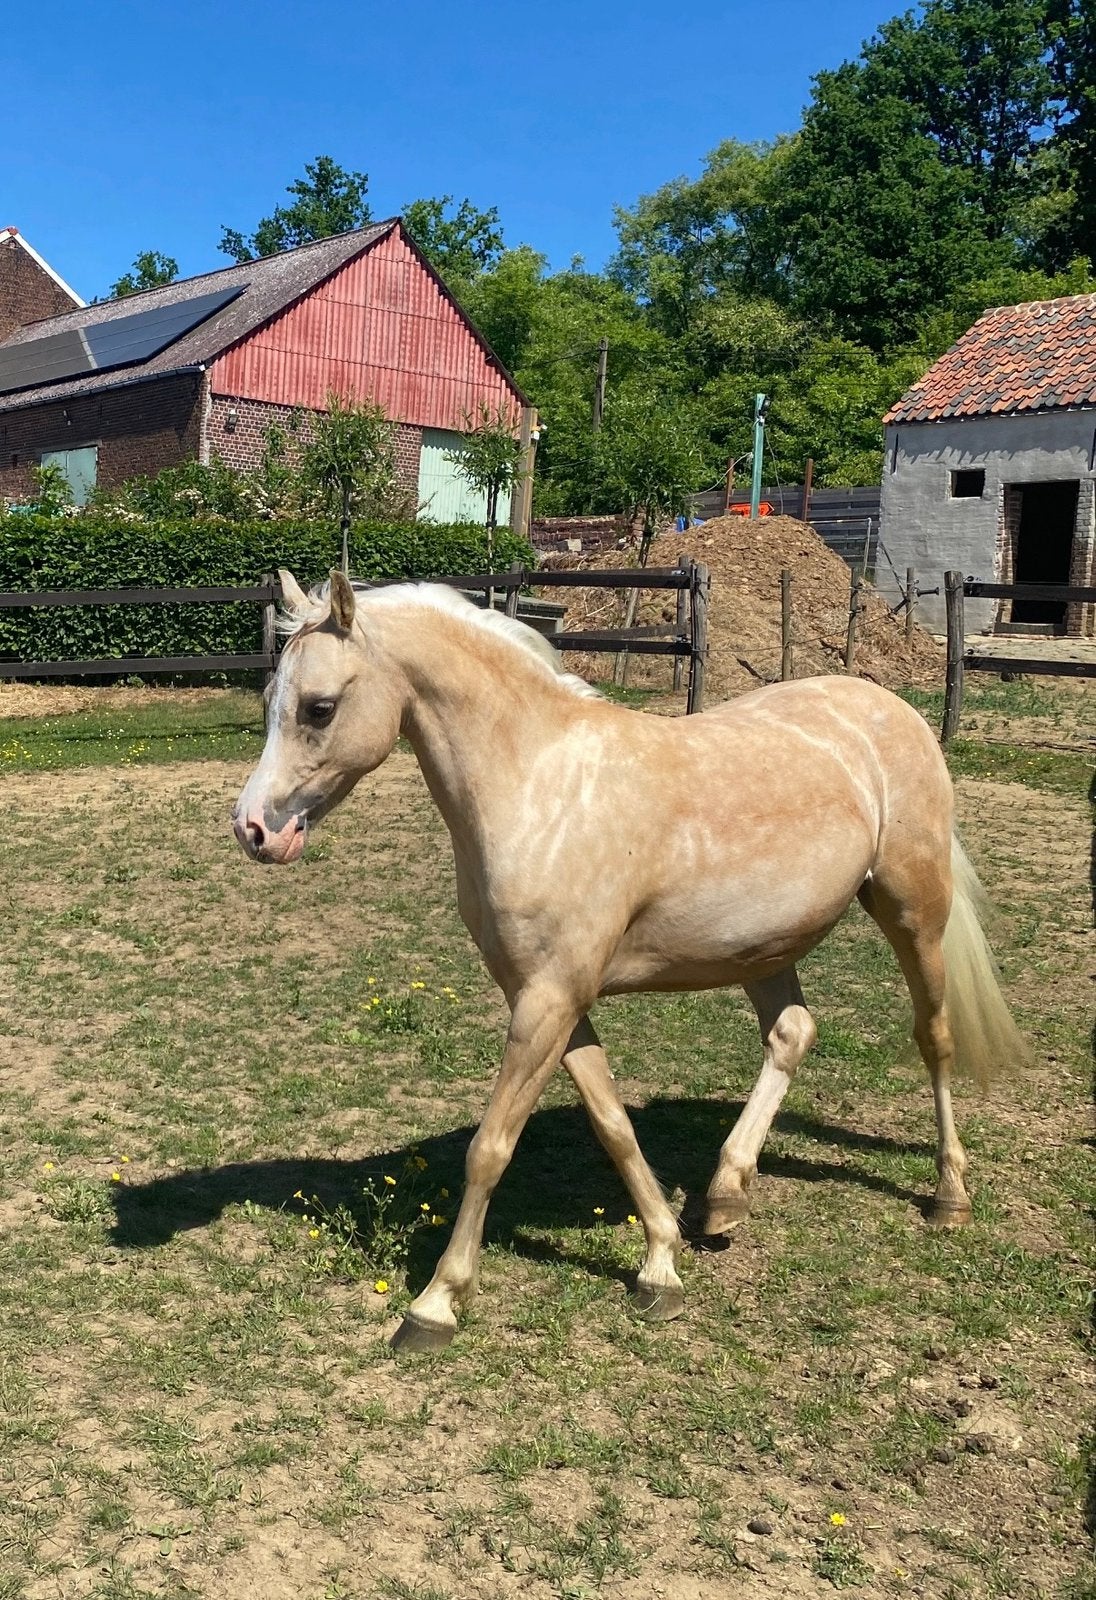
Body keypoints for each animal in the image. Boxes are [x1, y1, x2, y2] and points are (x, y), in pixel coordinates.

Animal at [233, 569, 1025, 1353]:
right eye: (271, 702)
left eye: (320, 707)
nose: (254, 831)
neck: (539, 786)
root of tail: (887, 706)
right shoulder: (549, 998)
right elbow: (612, 1125)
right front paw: (661, 1264)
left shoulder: (549, 999)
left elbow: (490, 1147)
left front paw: (435, 1304)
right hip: (766, 947)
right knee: (792, 1033)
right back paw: (724, 1195)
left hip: (912, 912)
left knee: (934, 1038)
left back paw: (949, 1195)